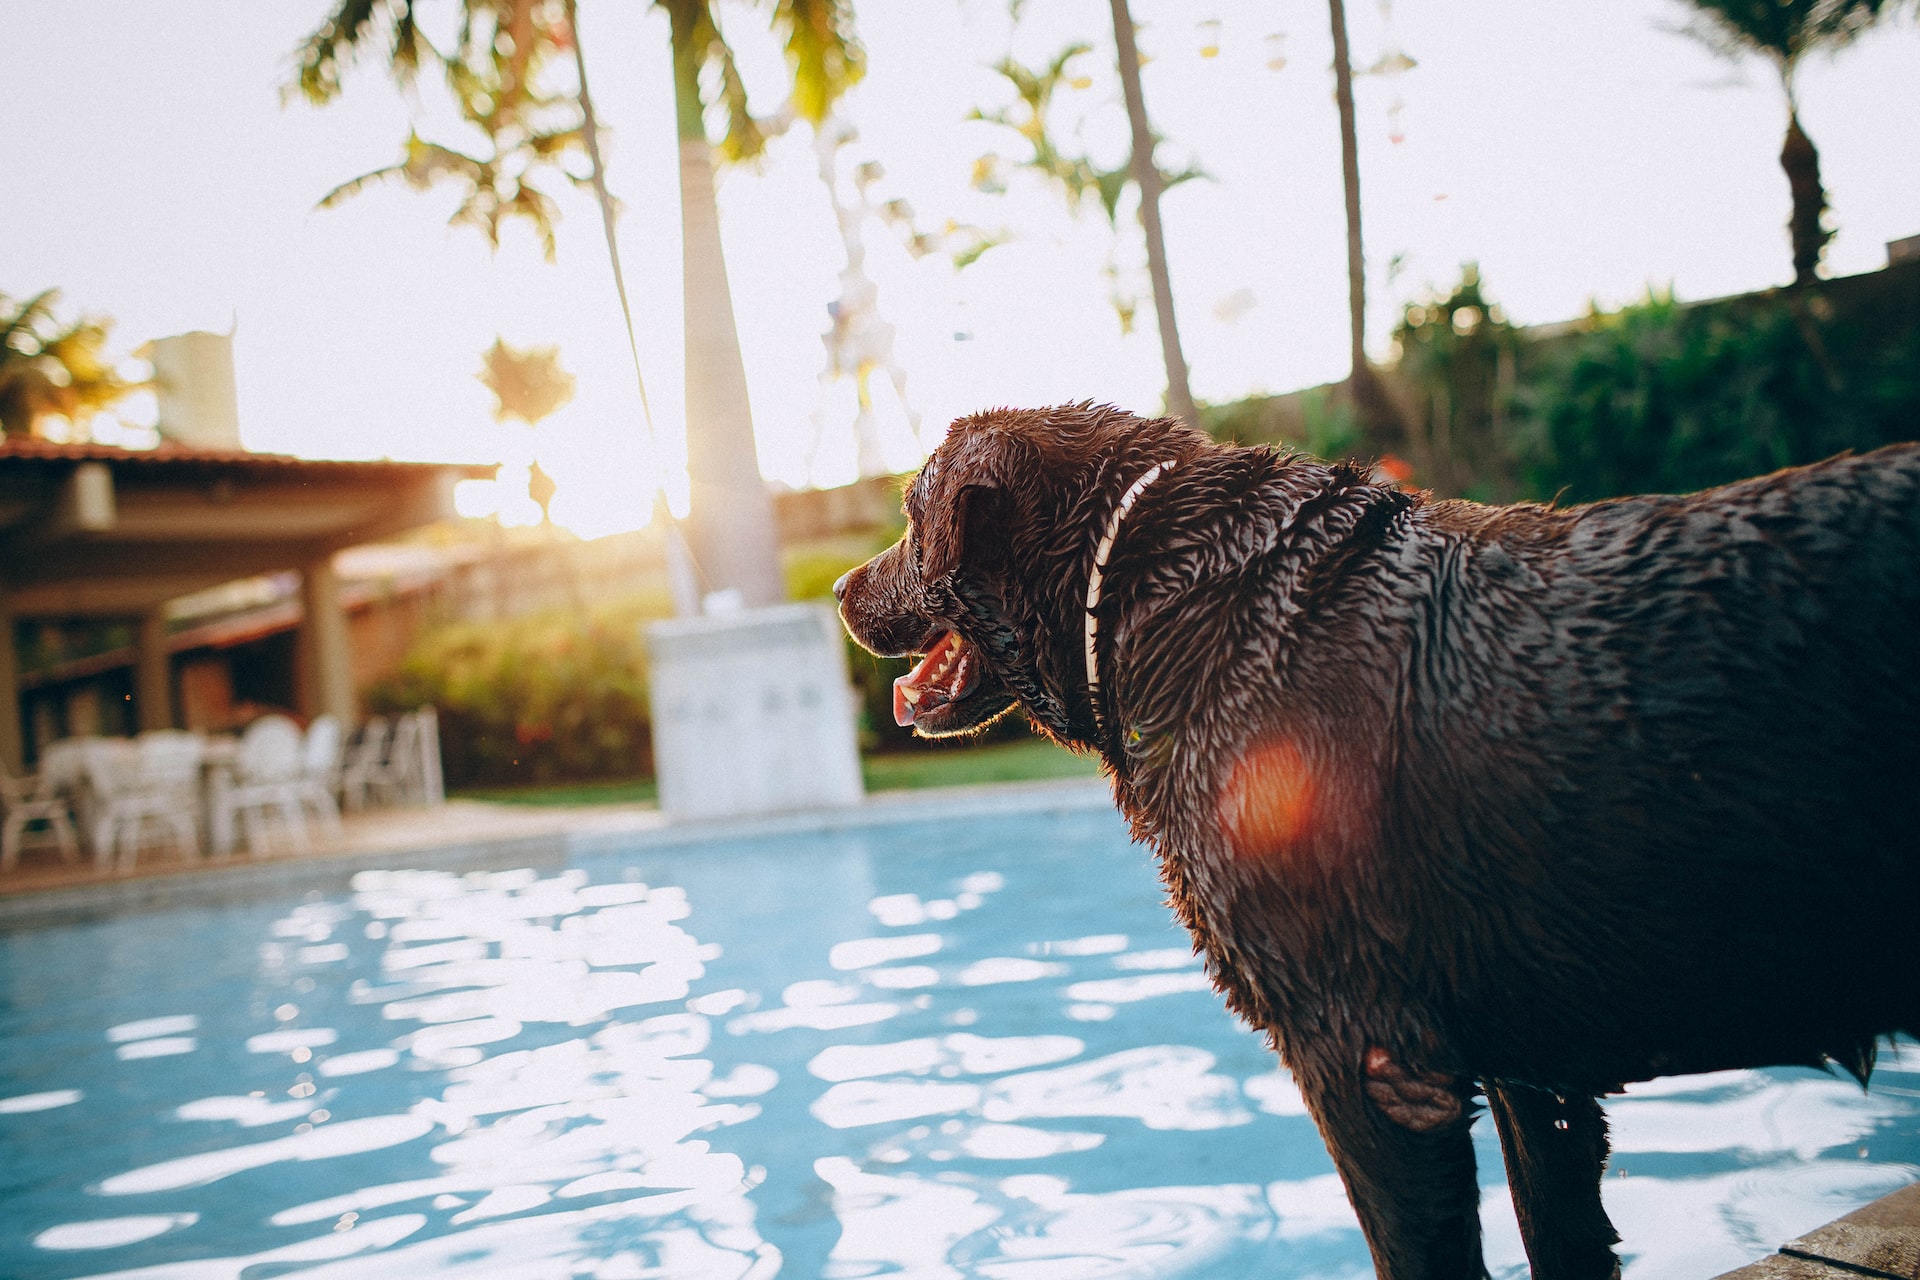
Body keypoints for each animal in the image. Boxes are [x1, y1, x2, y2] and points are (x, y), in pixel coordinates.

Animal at [837, 404, 1920, 1280]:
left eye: (910, 518)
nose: (843, 585)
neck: (1167, 596)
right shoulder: (1534, 1069)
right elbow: (1561, 1235)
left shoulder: (1362, 1056)